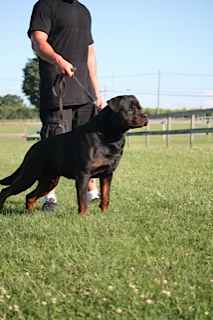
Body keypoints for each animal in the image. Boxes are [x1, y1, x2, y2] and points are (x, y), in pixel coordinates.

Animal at [0, 94, 147, 215]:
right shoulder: (83, 174)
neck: (110, 134)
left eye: (140, 109)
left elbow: (106, 196)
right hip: (29, 174)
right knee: (6, 191)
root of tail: (34, 147)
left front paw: (105, 214)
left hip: (49, 180)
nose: (145, 116)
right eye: (130, 109)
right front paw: (85, 216)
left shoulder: (107, 173)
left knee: (29, 196)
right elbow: (82, 198)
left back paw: (31, 213)